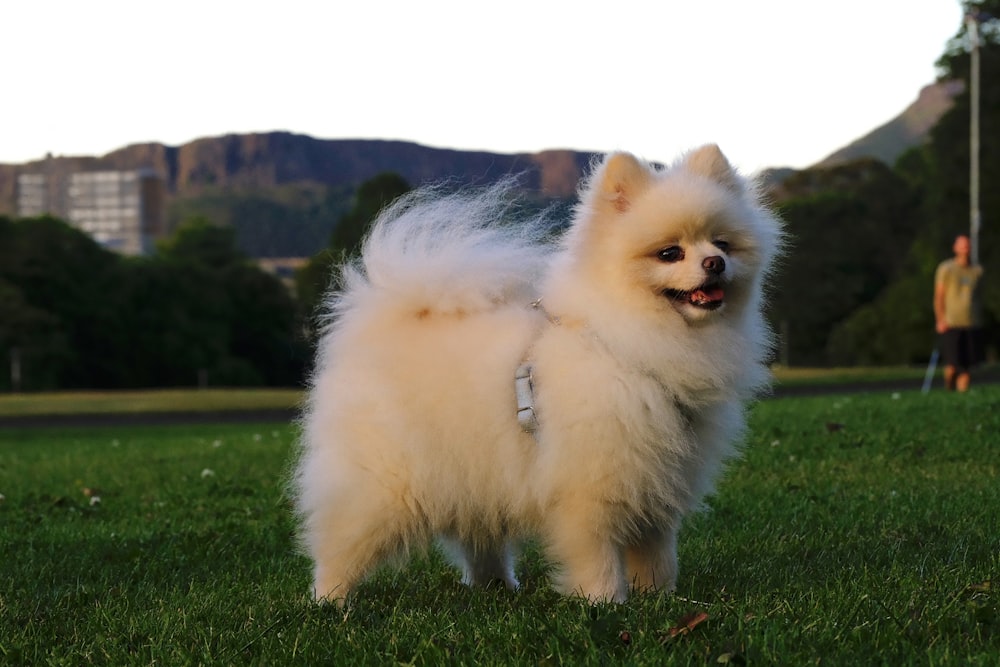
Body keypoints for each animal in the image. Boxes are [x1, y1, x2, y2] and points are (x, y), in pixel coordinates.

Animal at [292, 146, 784, 604]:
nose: (715, 263)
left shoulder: (657, 481)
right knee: (340, 541)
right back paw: (329, 601)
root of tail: (381, 320)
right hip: (386, 483)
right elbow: (597, 553)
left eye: (722, 244)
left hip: (472, 470)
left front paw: (658, 598)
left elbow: (657, 553)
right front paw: (606, 602)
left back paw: (496, 585)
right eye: (670, 253)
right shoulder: (591, 485)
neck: (625, 341)